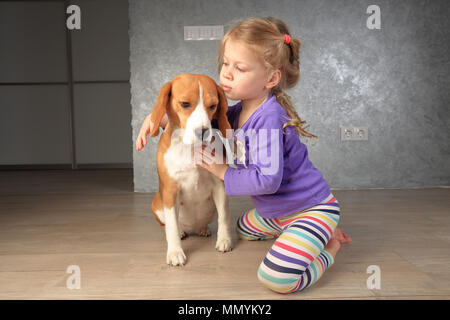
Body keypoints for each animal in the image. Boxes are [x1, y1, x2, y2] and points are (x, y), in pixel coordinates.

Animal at [148, 74, 234, 266]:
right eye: (185, 104)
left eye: (213, 106)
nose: (202, 132)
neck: (190, 149)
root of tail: (192, 228)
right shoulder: (170, 191)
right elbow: (171, 226)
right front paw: (175, 252)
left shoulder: (220, 186)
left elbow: (224, 216)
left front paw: (224, 240)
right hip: (157, 203)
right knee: (171, 225)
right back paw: (181, 232)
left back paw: (203, 229)